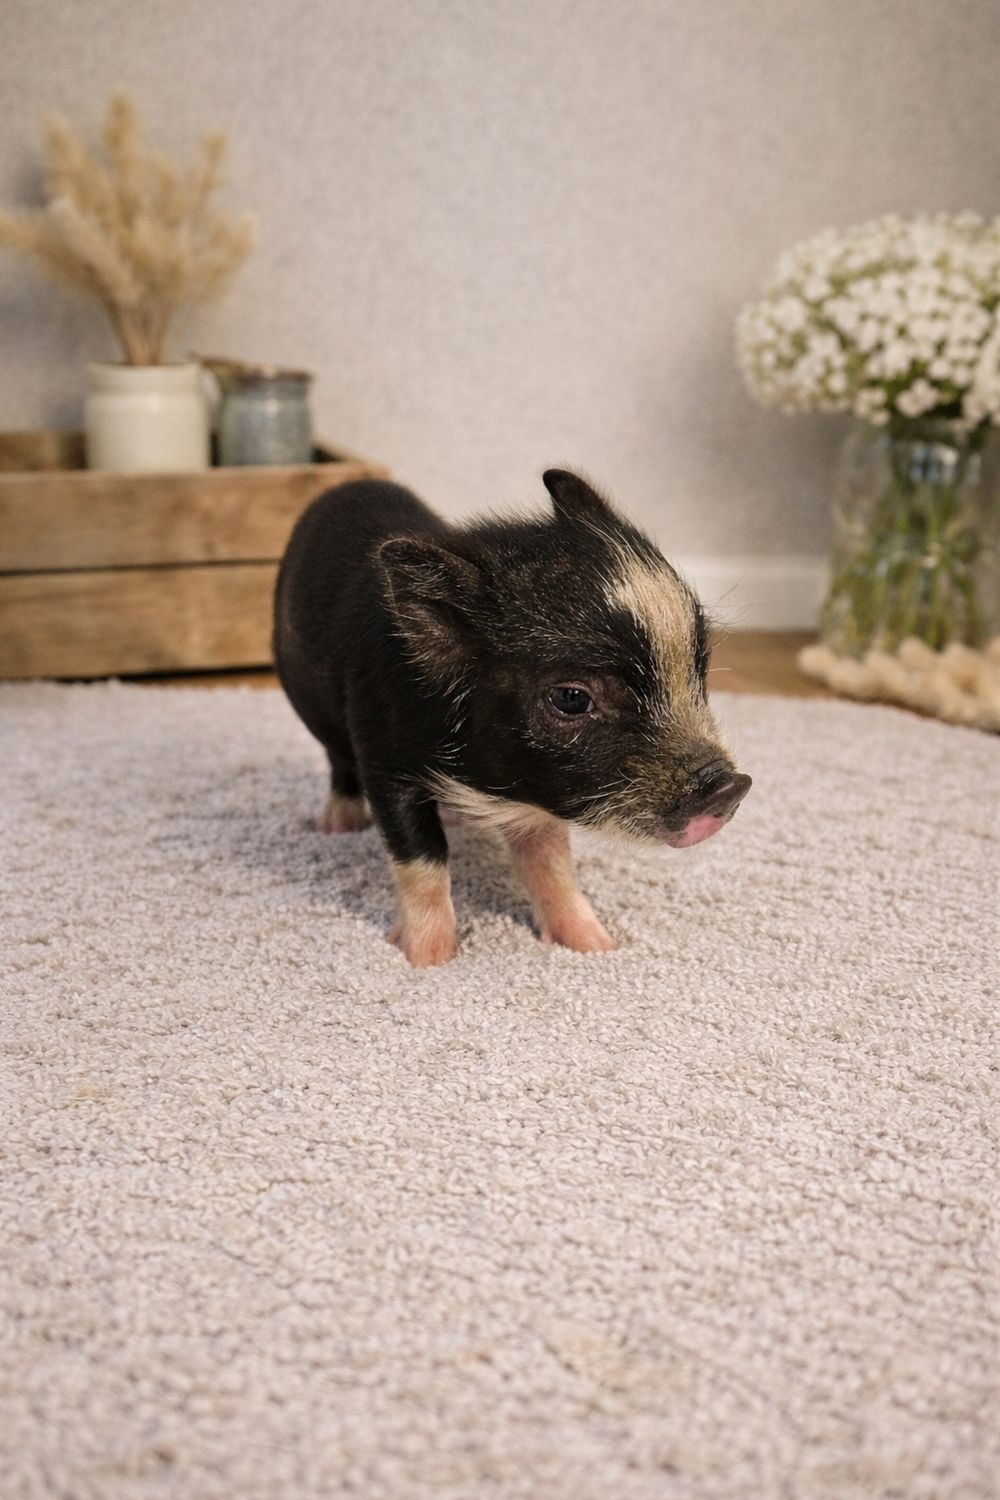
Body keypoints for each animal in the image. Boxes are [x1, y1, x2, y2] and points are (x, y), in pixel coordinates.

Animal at [273, 470, 751, 967]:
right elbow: (421, 860)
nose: (730, 785)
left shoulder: (543, 788)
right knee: (337, 761)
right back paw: (338, 826)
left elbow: (550, 861)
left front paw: (599, 946)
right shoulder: (383, 756)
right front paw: (428, 961)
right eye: (572, 698)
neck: (485, 783)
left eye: (699, 666)